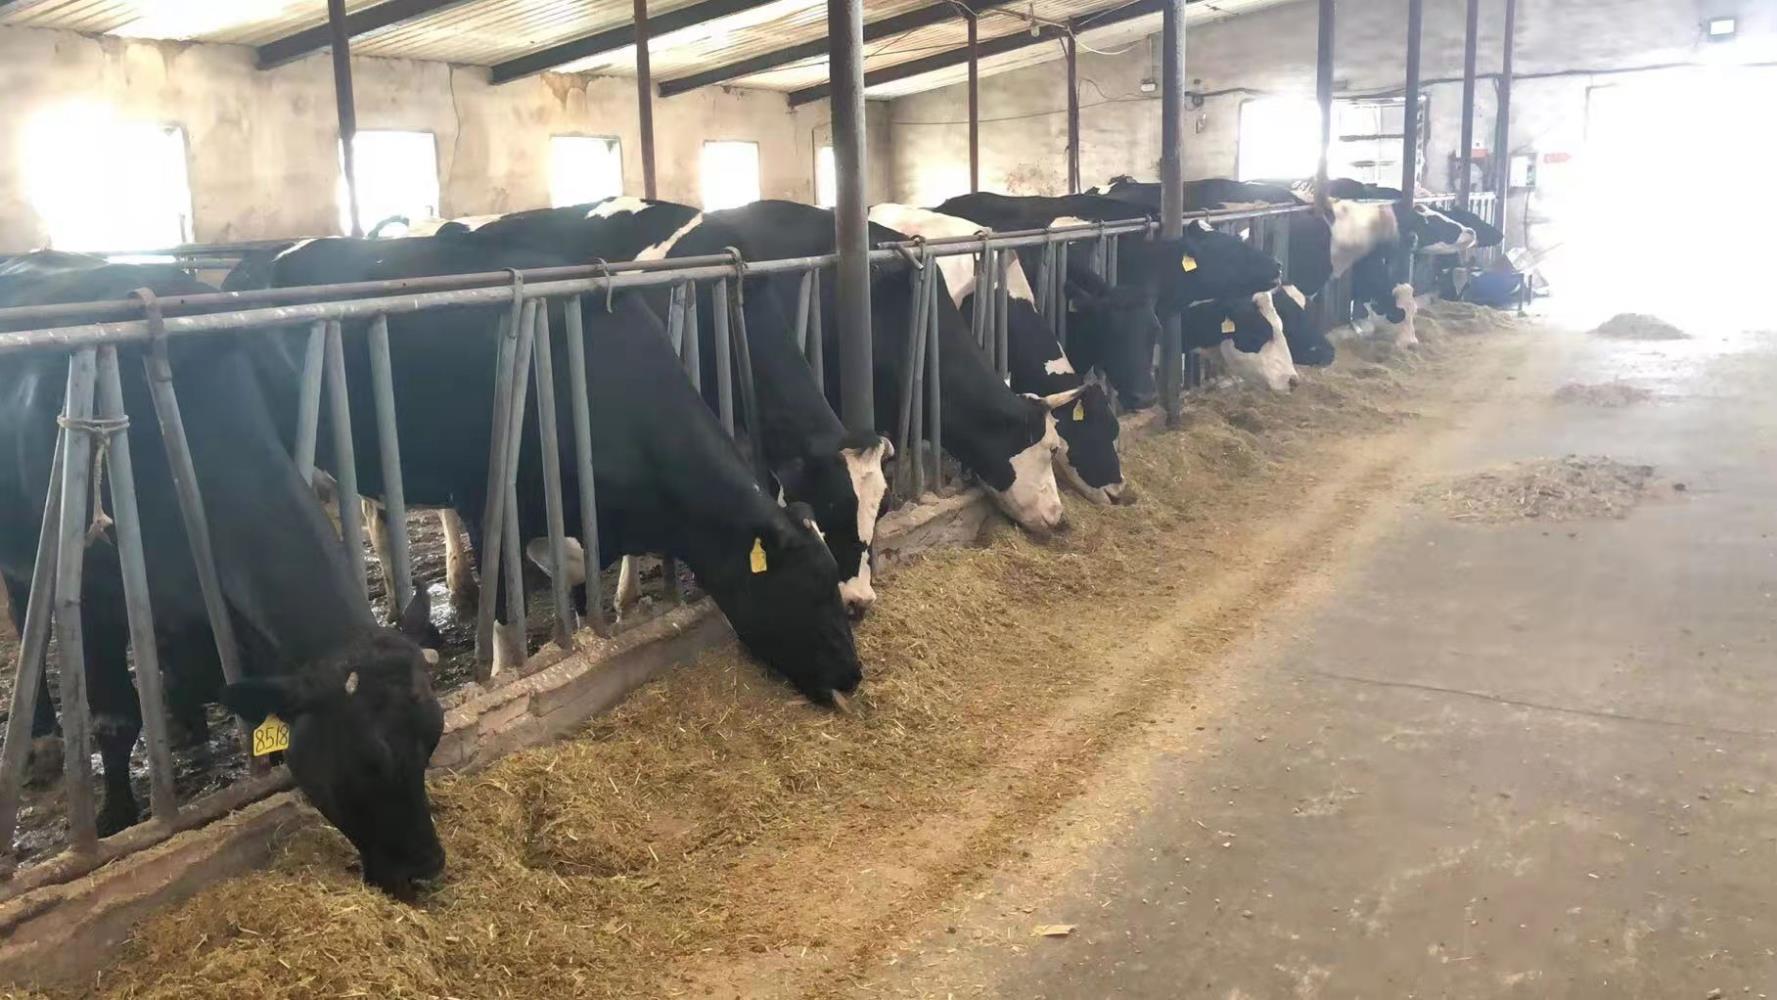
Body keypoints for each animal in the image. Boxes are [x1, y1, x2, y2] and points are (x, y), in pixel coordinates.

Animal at [0, 259, 446, 898]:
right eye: (367, 762)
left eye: (433, 736)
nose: (427, 869)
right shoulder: (92, 591)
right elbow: (114, 719)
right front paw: (116, 817)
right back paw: (40, 734)